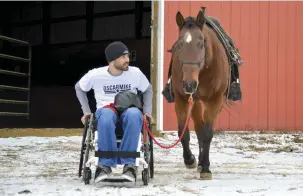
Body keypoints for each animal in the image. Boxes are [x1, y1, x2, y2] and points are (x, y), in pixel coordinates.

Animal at [170, 10, 232, 179]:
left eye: (201, 44)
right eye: (179, 45)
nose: (189, 84)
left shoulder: (215, 100)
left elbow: (208, 133)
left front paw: (205, 167)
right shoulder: (182, 98)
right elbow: (183, 132)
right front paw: (190, 160)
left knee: (202, 130)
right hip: (195, 101)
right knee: (198, 127)